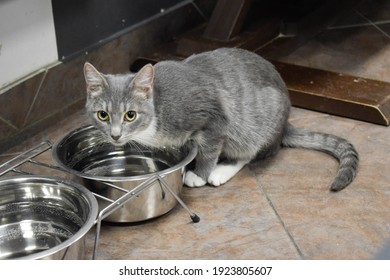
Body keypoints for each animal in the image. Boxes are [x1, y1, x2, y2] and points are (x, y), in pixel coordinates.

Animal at [84, 48, 358, 192]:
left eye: (130, 115)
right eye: (103, 115)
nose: (115, 135)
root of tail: (285, 125)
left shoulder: (215, 118)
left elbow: (209, 150)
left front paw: (200, 174)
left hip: (253, 126)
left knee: (252, 153)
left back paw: (222, 171)